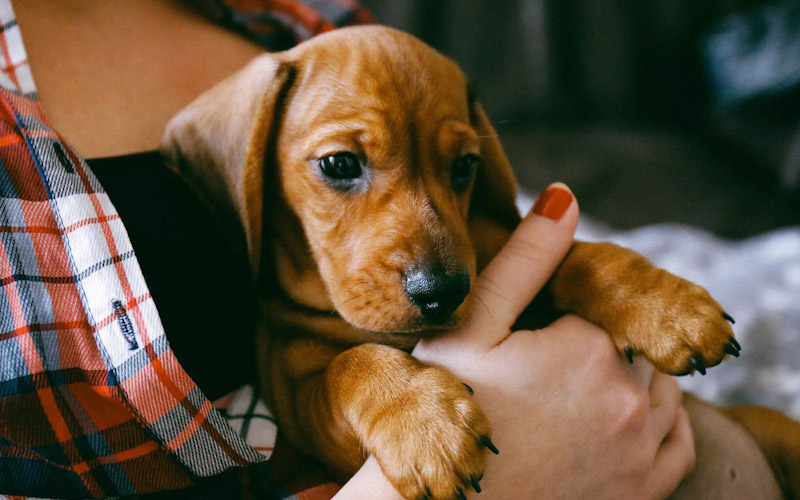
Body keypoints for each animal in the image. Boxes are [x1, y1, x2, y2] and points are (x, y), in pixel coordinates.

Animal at [162, 25, 800, 498]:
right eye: (339, 164)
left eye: (465, 166)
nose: (442, 292)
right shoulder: (300, 407)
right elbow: (352, 365)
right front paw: (424, 422)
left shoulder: (497, 248)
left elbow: (582, 256)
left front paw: (665, 307)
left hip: (773, 427)